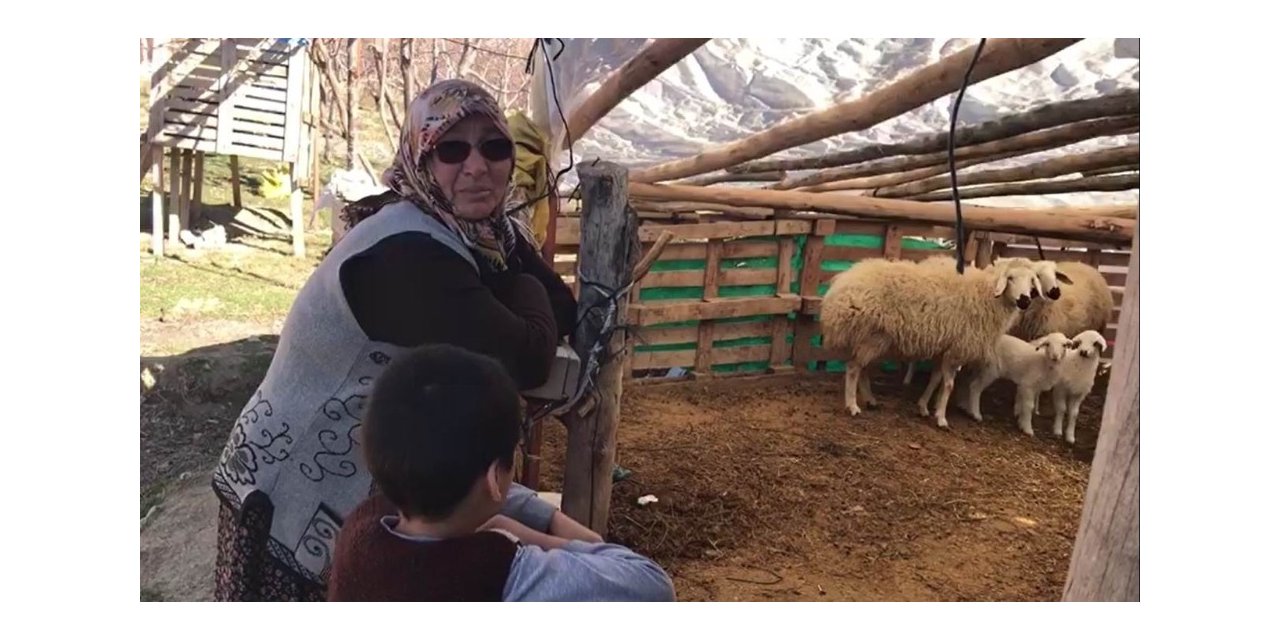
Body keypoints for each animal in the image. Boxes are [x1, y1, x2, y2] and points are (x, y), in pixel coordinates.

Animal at [814, 253, 1044, 424]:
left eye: (1032, 281)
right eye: (1011, 278)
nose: (1024, 300)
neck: (987, 295)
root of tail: (839, 288)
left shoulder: (945, 348)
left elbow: (935, 380)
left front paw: (924, 407)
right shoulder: (957, 348)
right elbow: (949, 384)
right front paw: (941, 417)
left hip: (873, 339)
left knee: (862, 368)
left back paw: (870, 400)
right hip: (871, 335)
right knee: (854, 368)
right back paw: (852, 405)